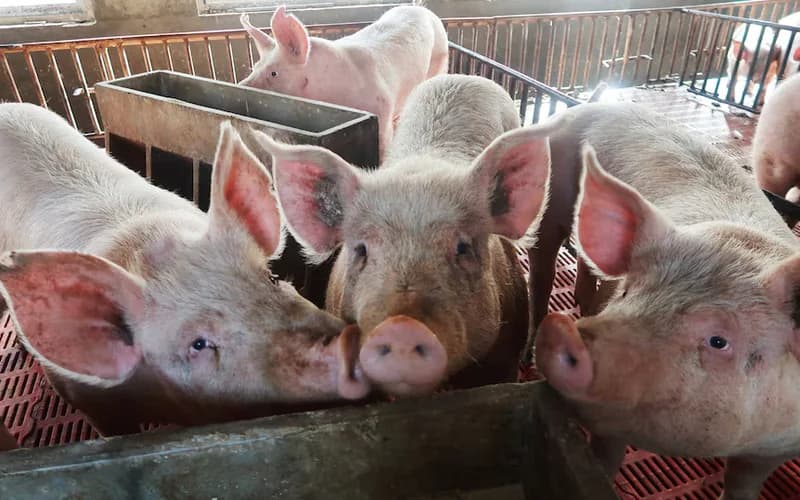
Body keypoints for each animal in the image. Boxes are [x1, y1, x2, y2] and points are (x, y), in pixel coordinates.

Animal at [239, 5, 449, 161]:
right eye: (255, 66)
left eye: (274, 73)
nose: (240, 87)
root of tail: (421, 8)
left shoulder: (382, 109)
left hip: (440, 59)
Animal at [530, 102, 800, 500]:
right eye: (628, 292)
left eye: (718, 341)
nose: (566, 331)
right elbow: (604, 461)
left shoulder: (775, 447)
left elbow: (743, 484)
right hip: (552, 190)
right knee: (543, 260)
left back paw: (583, 300)